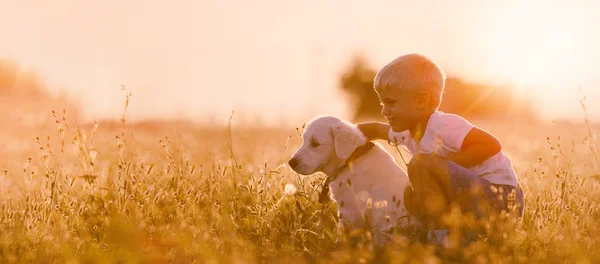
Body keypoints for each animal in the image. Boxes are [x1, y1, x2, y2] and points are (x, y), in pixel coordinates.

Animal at [288, 116, 420, 248]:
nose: (291, 162)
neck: (350, 160)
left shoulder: (350, 211)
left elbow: (342, 236)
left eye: (315, 143)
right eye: (304, 141)